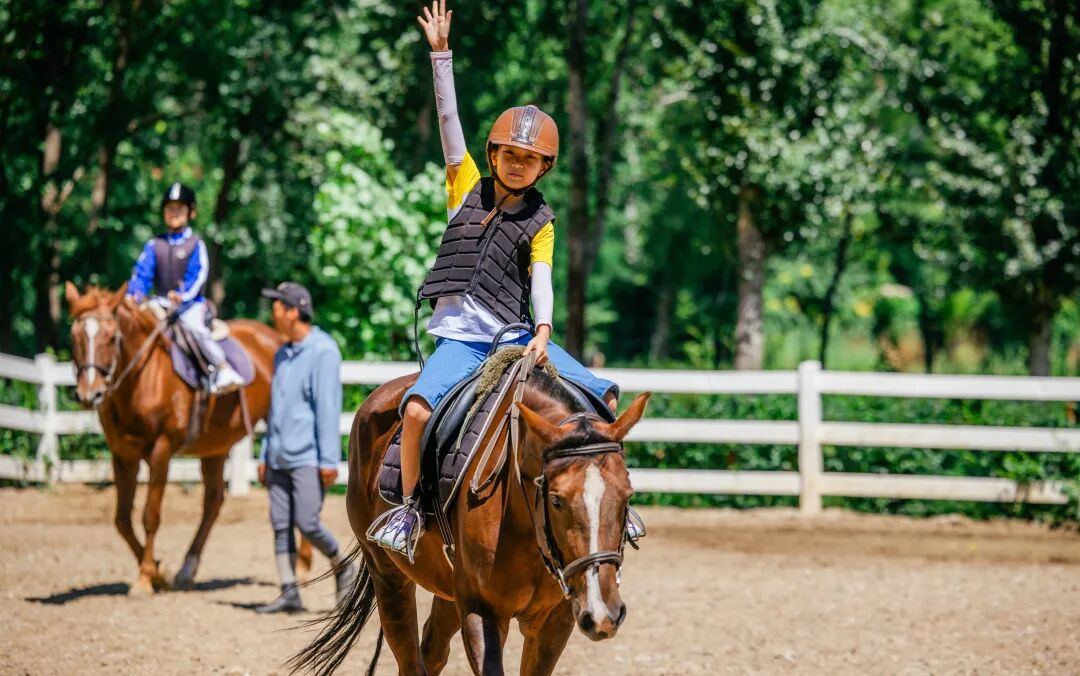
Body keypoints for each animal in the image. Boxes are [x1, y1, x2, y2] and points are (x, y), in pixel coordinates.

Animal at [65, 281, 282, 594]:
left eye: (112, 337)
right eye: (75, 337)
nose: (89, 393)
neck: (142, 379)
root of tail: (274, 336)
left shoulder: (161, 451)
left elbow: (150, 515)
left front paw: (146, 578)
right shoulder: (123, 455)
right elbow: (122, 519)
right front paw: (158, 572)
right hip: (215, 448)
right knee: (213, 502)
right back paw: (186, 569)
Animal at [290, 357, 651, 676]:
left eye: (626, 495)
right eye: (557, 500)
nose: (604, 611)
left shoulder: (557, 617)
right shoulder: (482, 611)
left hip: (449, 589)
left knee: (432, 651)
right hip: (388, 576)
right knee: (411, 661)